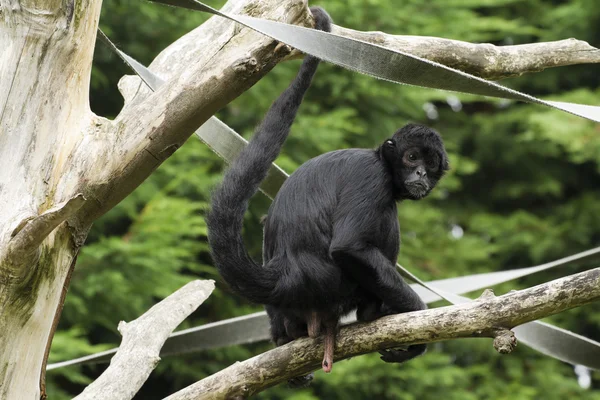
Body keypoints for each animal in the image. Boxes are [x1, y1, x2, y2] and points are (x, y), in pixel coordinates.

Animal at [204, 5, 448, 388]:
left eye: (431, 163)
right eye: (412, 158)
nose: (421, 173)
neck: (379, 158)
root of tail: (288, 274)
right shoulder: (371, 177)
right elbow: (350, 247)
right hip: (333, 284)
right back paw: (372, 310)